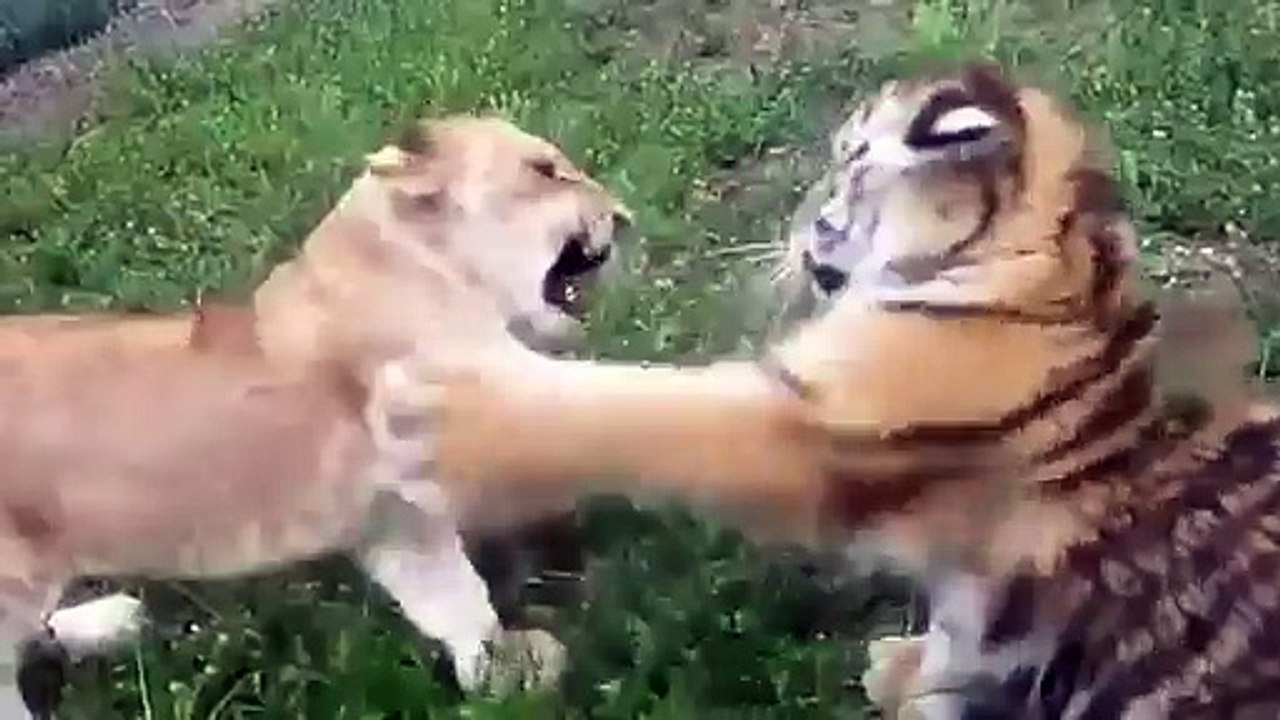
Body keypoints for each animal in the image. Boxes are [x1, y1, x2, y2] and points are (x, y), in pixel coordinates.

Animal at [0, 115, 631, 718]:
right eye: (544, 170)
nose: (622, 217)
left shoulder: (396, 522)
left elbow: (454, 599)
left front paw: (506, 672)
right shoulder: (482, 406)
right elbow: (611, 408)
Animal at [370, 63, 1280, 717]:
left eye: (851, 165)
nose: (801, 224)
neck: (1061, 272)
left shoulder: (818, 426)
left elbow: (652, 411)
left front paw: (446, 414)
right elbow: (957, 633)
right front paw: (909, 671)